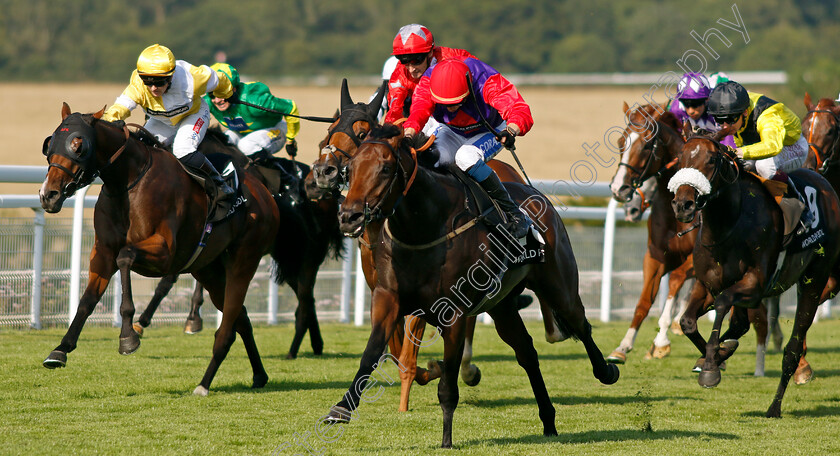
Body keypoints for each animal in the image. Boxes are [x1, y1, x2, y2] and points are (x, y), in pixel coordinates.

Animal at [39, 103, 284, 396]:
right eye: (50, 143)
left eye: (78, 145)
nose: (48, 195)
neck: (128, 183)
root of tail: (264, 193)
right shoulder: (102, 252)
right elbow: (87, 300)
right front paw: (60, 350)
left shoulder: (164, 253)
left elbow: (126, 257)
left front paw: (128, 336)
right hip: (209, 270)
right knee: (241, 318)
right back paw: (259, 375)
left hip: (244, 260)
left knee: (227, 329)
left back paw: (204, 384)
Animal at [129, 125, 344, 360]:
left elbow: (168, 281)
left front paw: (175, 320)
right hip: (288, 258)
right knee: (307, 298)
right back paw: (316, 343)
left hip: (309, 256)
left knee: (305, 298)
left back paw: (296, 348)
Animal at [322, 125, 616, 448]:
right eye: (350, 169)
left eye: (385, 169)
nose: (349, 217)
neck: (425, 227)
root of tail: (536, 193)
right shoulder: (388, 299)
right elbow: (371, 353)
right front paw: (341, 409)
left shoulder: (455, 313)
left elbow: (448, 382)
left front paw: (446, 439)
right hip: (502, 306)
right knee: (527, 352)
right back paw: (548, 420)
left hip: (558, 285)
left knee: (581, 324)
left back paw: (607, 371)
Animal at [668, 131, 840, 416]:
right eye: (680, 157)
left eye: (712, 159)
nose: (683, 205)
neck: (727, 226)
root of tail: (826, 185)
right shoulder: (707, 285)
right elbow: (688, 322)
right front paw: (715, 356)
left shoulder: (755, 285)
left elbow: (723, 304)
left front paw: (711, 367)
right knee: (740, 324)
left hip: (814, 278)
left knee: (793, 348)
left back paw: (775, 406)